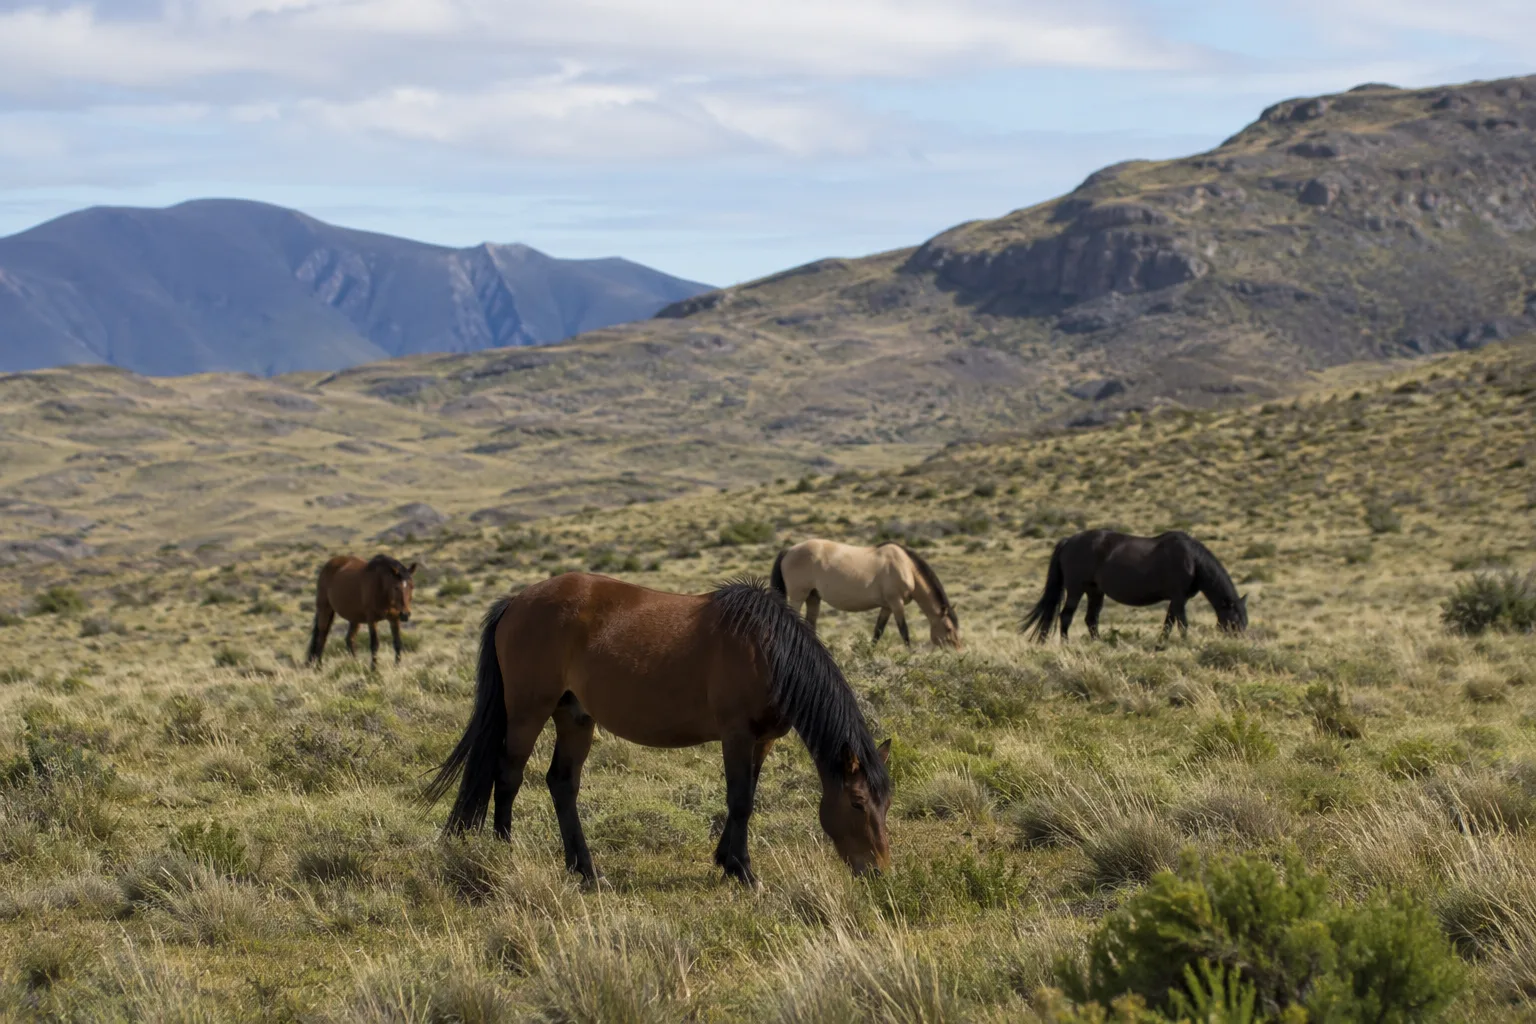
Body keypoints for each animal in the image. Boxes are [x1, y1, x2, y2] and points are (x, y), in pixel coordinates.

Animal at [422, 573, 891, 887]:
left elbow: (747, 798)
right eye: (856, 803)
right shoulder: (736, 735)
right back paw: (503, 853)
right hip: (526, 710)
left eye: (884, 805)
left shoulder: (763, 741)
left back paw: (586, 871)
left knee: (561, 783)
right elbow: (740, 801)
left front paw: (726, 860)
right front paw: (743, 872)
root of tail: (516, 601)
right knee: (509, 776)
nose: (878, 871)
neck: (766, 650)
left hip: (575, 717)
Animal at [770, 539, 961, 649]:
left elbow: (878, 631)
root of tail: (789, 550)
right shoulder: (896, 603)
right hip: (798, 596)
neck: (905, 565)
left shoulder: (887, 606)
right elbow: (904, 631)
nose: (956, 651)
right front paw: (910, 654)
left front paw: (869, 654)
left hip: (813, 597)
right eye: (948, 628)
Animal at [1021, 530, 1247, 642]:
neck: (1191, 560)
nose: (1238, 643)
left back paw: (1098, 644)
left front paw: (1161, 644)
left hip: (1095, 591)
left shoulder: (1174, 600)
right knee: (1066, 616)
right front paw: (1186, 643)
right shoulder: (1179, 598)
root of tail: (1069, 541)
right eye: (1234, 621)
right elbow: (1182, 623)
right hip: (1076, 589)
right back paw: (1066, 645)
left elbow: (1168, 622)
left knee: (1091, 619)